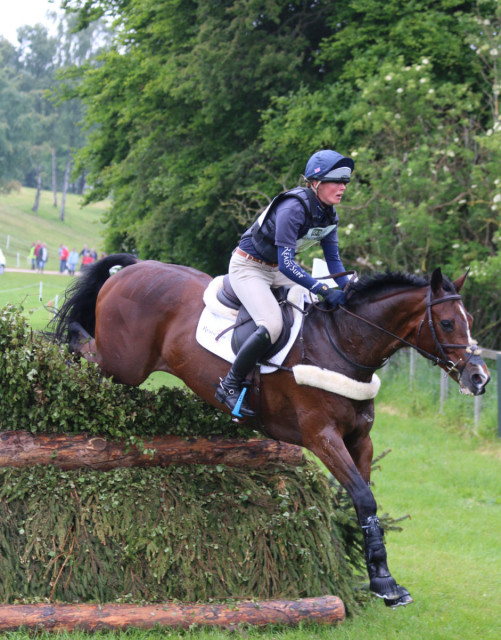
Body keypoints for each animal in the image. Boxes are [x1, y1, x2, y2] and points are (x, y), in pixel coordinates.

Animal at [54, 252, 488, 608]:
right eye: (447, 322)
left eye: (468, 322)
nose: (479, 377)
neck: (343, 344)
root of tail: (132, 268)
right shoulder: (322, 437)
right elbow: (364, 499)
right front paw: (383, 582)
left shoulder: (360, 439)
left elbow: (366, 504)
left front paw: (382, 580)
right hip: (122, 364)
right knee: (81, 346)